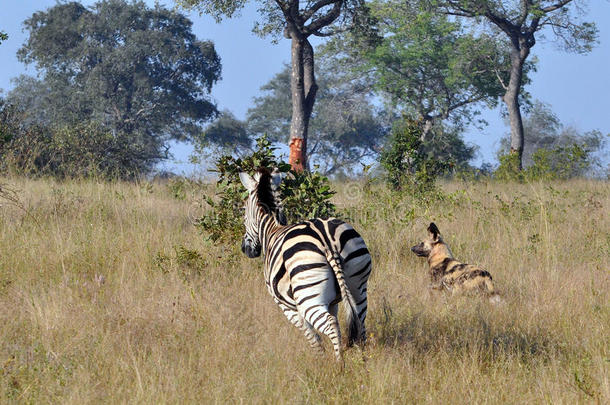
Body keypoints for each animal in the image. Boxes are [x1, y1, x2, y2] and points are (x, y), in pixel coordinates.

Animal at [238, 168, 370, 360]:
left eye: (244, 213)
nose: (245, 249)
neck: (271, 230)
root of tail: (327, 240)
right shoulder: (332, 302)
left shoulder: (288, 308)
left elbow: (312, 337)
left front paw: (319, 360)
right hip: (357, 285)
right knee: (359, 321)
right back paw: (364, 361)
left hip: (308, 296)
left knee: (330, 324)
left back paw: (339, 365)